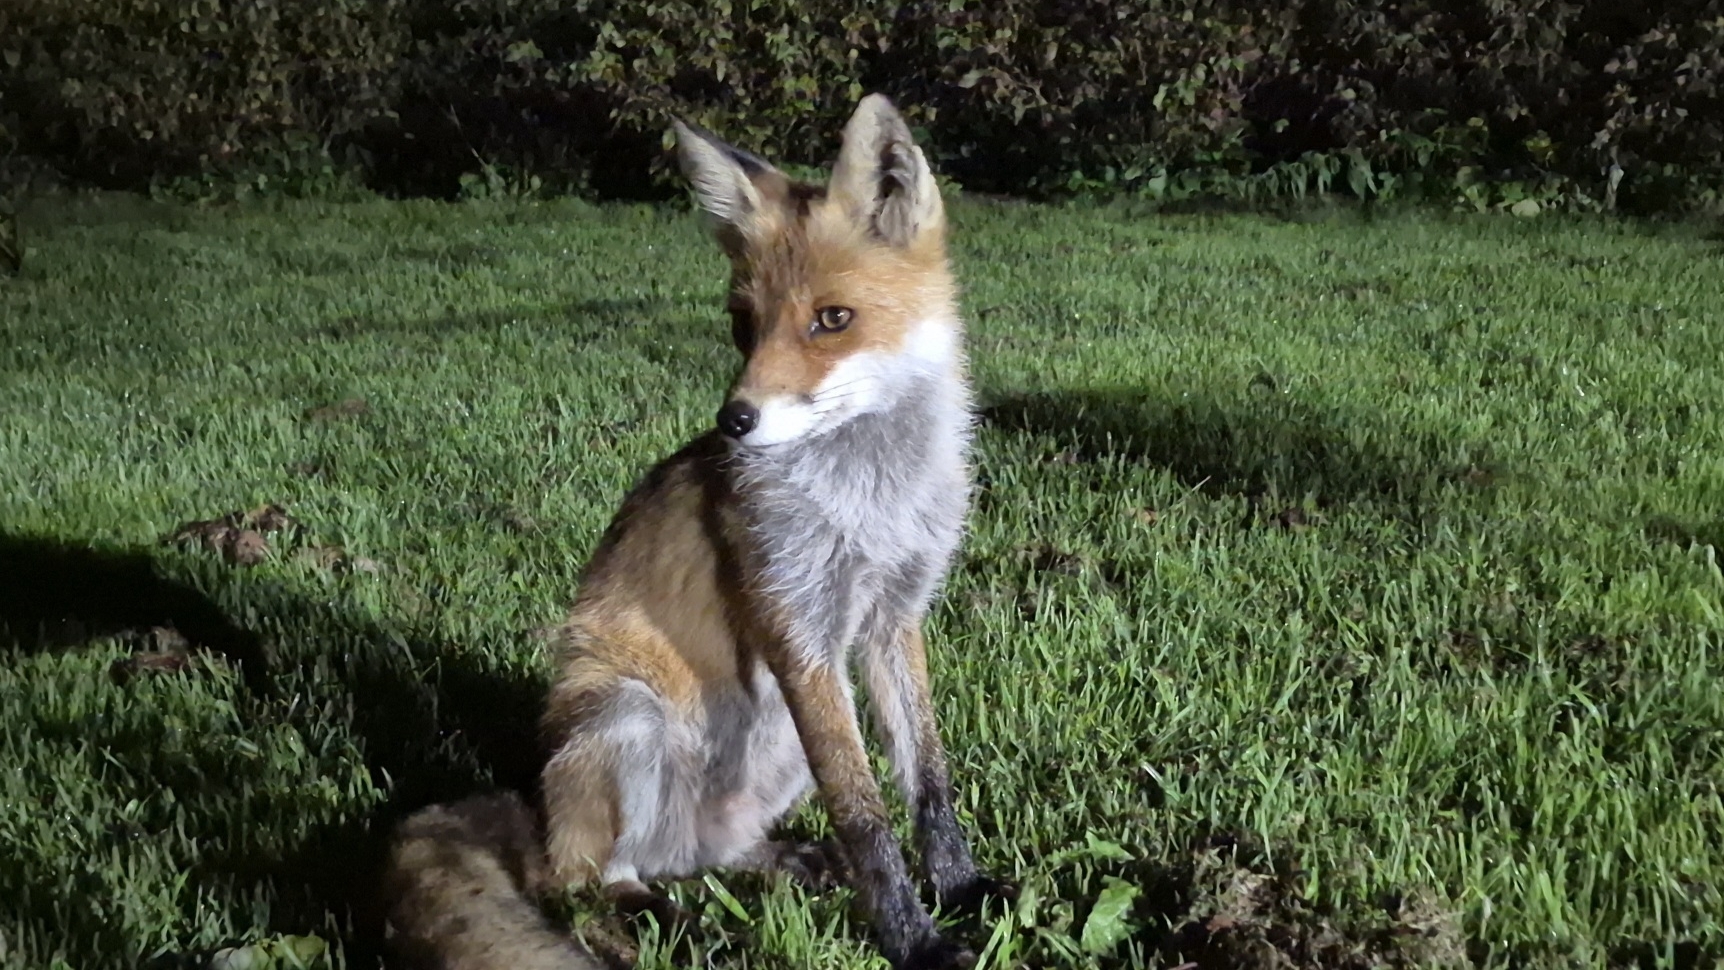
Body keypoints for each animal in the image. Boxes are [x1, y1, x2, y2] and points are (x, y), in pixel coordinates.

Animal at [381, 93, 1008, 970]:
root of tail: (539, 815)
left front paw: (957, 886)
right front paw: (912, 940)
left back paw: (778, 863)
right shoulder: (798, 630)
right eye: (743, 325)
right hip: (626, 714)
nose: (734, 421)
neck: (873, 495)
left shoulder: (893, 617)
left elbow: (926, 782)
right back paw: (670, 919)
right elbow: (865, 813)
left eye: (833, 320)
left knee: (706, 858)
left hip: (774, 750)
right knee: (591, 880)